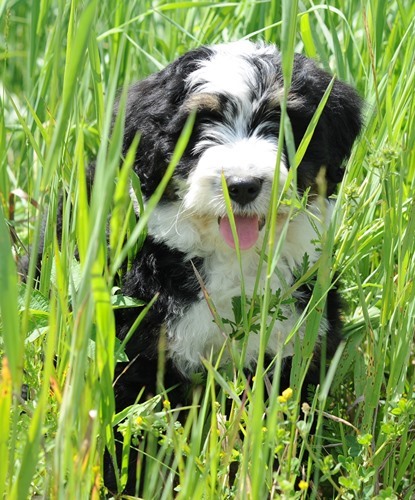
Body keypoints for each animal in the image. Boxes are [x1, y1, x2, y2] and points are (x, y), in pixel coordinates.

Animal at [105, 41, 364, 494]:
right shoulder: (142, 354)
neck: (236, 263)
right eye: (200, 124)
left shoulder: (295, 350)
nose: (242, 186)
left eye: (281, 123)